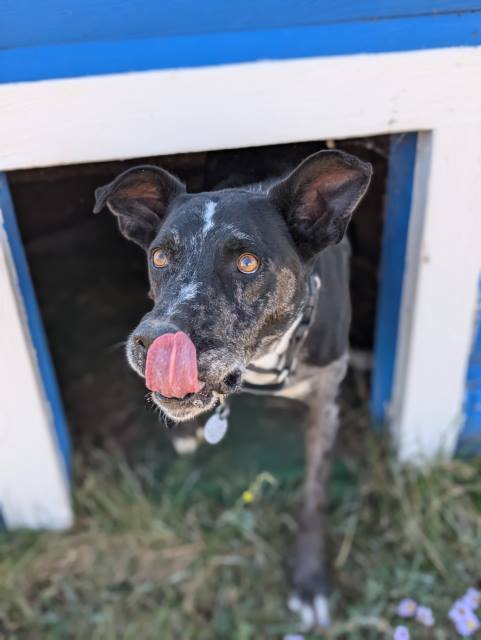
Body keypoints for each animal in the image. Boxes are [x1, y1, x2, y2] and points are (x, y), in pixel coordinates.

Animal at [94, 150, 372, 632]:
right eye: (160, 256)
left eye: (247, 263)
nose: (153, 341)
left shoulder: (324, 405)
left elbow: (314, 496)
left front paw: (310, 580)